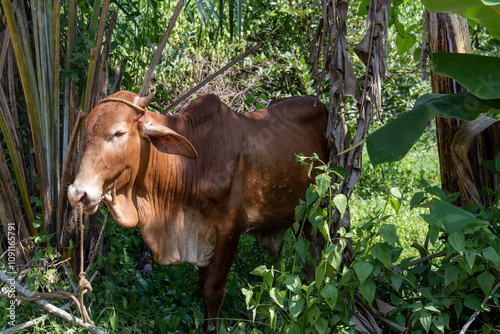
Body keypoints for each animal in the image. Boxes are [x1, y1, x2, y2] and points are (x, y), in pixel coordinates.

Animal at [68, 89, 330, 332]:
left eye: (119, 133)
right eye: (86, 132)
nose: (77, 193)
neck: (194, 165)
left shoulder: (229, 230)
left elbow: (214, 290)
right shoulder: (200, 235)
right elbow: (204, 287)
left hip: (312, 211)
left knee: (315, 255)